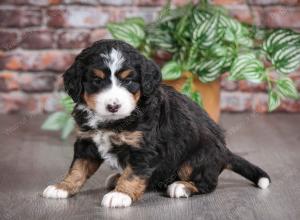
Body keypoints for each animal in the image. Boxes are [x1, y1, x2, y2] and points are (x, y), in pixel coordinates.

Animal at [42, 40, 272, 208]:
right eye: (96, 80)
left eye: (128, 81)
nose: (113, 106)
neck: (114, 121)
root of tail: (225, 151)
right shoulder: (87, 141)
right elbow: (77, 169)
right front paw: (62, 187)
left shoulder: (145, 148)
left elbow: (133, 174)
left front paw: (121, 195)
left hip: (197, 158)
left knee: (207, 183)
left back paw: (181, 187)